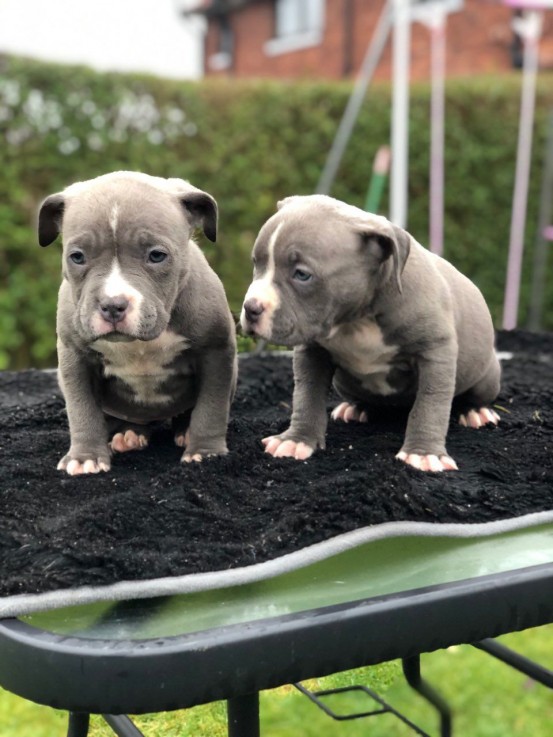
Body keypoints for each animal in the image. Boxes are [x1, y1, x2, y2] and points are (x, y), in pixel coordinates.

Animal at [38, 170, 237, 474]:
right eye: (77, 257)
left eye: (157, 255)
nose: (112, 305)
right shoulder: (75, 357)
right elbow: (82, 409)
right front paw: (84, 458)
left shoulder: (215, 352)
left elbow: (211, 406)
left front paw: (205, 453)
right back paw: (128, 434)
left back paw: (184, 431)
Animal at [242, 196, 500, 472]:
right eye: (256, 263)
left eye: (302, 274)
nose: (250, 308)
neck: (357, 319)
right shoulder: (312, 351)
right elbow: (306, 395)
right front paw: (295, 440)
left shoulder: (435, 352)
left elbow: (430, 402)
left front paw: (423, 454)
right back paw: (355, 408)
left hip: (486, 374)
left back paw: (475, 412)